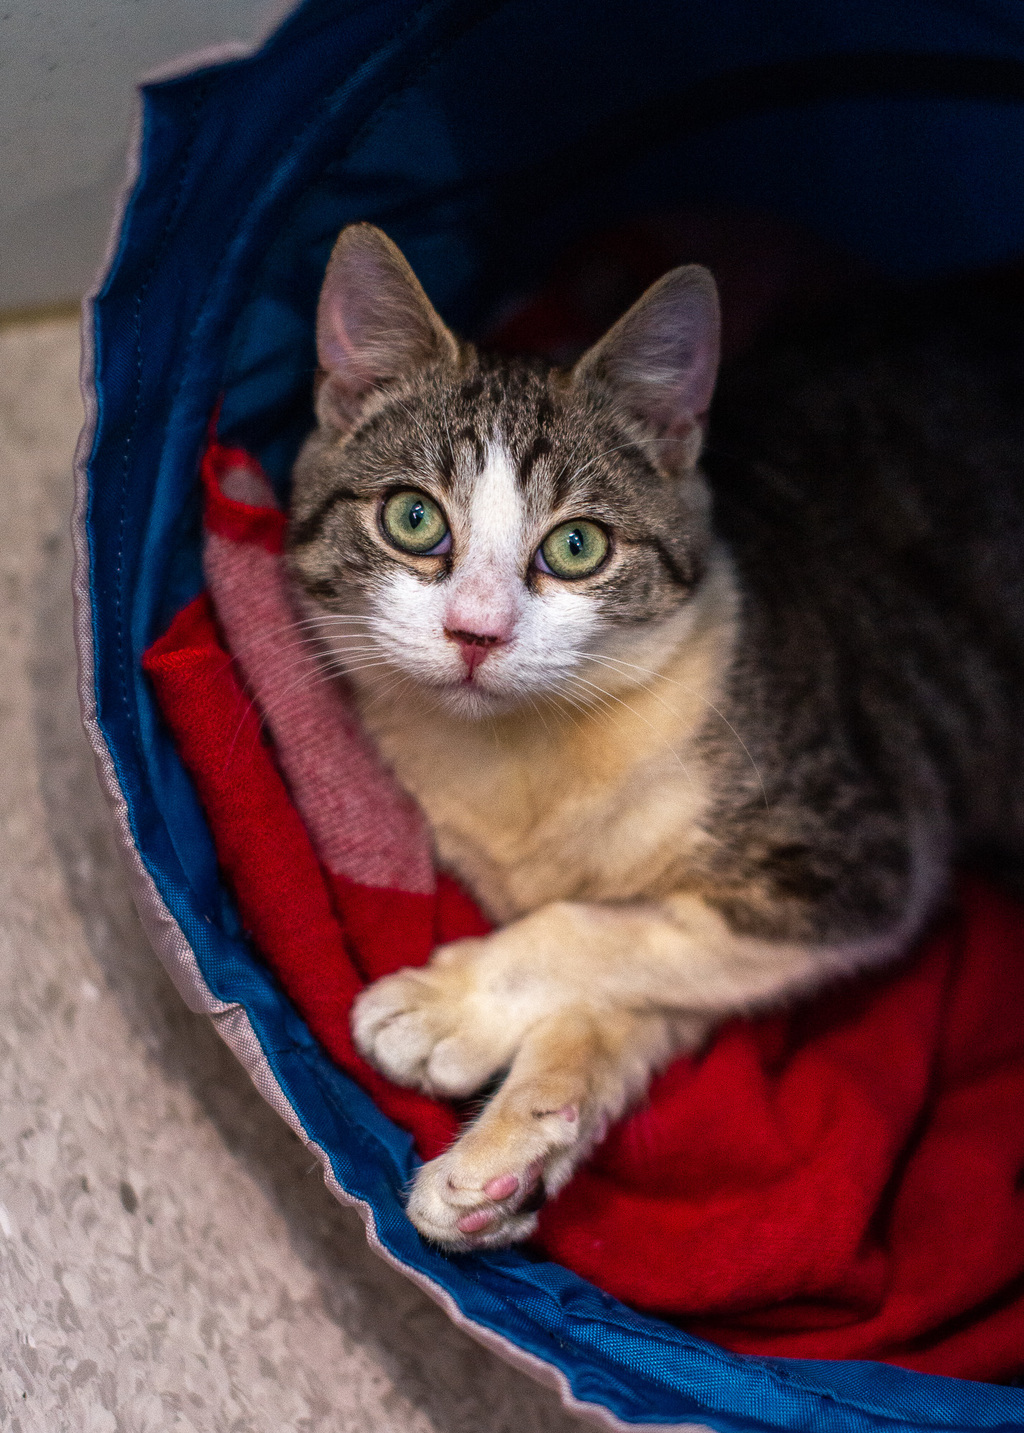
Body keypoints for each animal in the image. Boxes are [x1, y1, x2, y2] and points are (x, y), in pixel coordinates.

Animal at [286, 222, 1024, 1250]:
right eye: (412, 517)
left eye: (577, 546)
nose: (477, 632)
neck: (527, 764)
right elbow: (647, 985)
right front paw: (512, 1157)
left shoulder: (859, 862)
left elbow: (600, 927)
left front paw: (445, 1009)